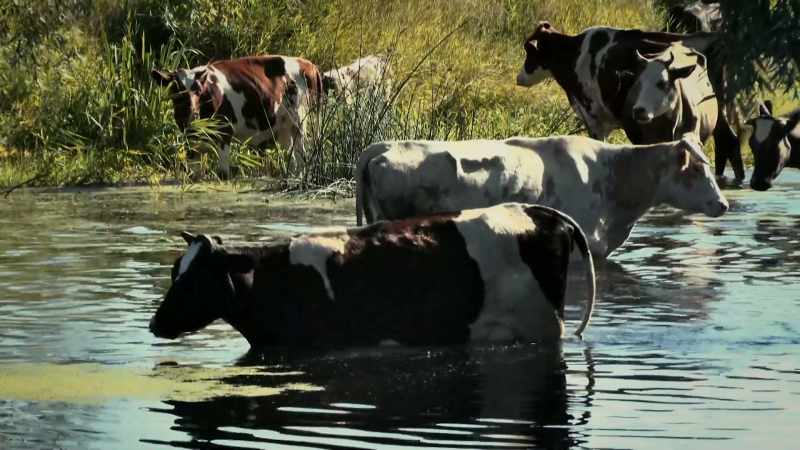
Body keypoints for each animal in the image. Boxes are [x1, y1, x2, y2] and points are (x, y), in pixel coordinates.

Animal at [151, 55, 323, 178]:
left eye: (198, 90)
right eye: (175, 90)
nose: (191, 111)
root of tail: (309, 64)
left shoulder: (225, 131)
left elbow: (223, 173)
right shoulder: (190, 139)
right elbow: (195, 173)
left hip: (301, 120)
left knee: (302, 155)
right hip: (284, 127)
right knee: (292, 156)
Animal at [515, 21, 745, 183]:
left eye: (529, 49)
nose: (519, 78)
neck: (575, 55)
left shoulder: (594, 118)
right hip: (718, 109)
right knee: (729, 141)